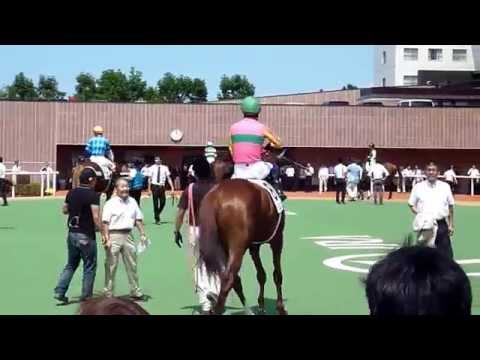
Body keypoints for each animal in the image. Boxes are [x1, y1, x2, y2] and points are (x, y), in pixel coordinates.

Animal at [198, 158, 286, 316]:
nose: (282, 194)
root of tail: (217, 196)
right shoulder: (277, 240)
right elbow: (277, 274)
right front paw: (280, 308)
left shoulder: (254, 246)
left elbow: (261, 274)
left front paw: (261, 305)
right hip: (238, 245)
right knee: (229, 277)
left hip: (223, 246)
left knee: (232, 278)